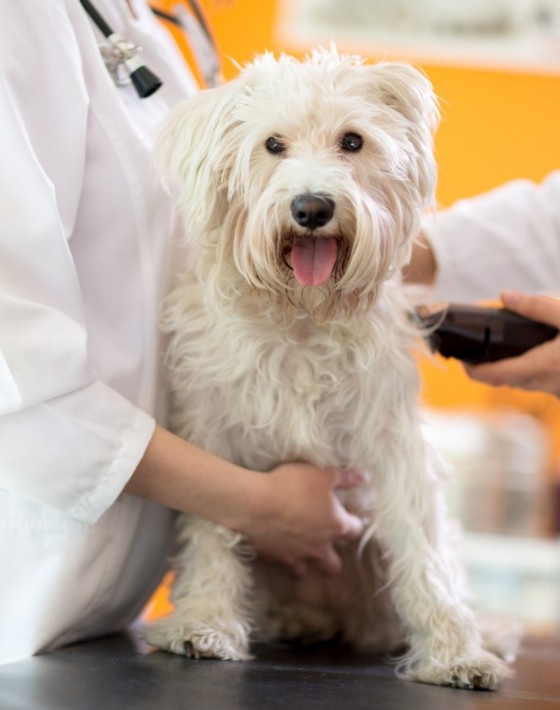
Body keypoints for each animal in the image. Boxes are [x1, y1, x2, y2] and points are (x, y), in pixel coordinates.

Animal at [145, 48, 516, 688]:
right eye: (272, 144)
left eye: (352, 141)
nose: (312, 207)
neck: (301, 315)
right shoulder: (213, 431)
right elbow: (212, 528)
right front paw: (204, 620)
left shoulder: (391, 442)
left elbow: (423, 552)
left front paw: (454, 653)